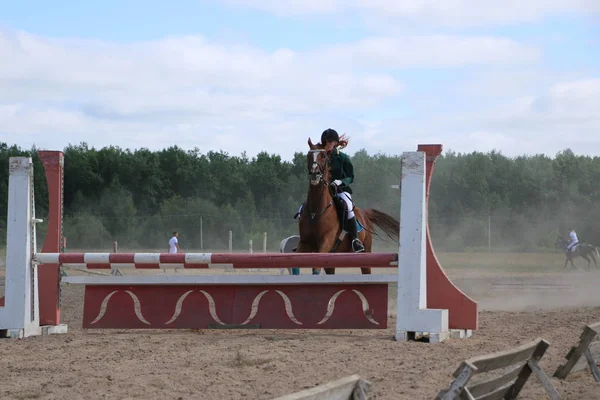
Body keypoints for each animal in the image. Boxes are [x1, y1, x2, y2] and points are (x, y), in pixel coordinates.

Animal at [294, 138, 400, 276]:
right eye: (308, 155)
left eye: (323, 156)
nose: (314, 174)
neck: (315, 211)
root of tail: (364, 214)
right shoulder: (304, 243)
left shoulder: (326, 242)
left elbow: (316, 269)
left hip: (365, 253)